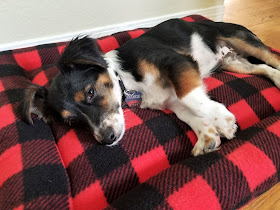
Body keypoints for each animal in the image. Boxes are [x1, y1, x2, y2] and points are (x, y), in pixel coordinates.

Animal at [21, 18, 280, 156]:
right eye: (72, 122)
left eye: (90, 92)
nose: (107, 140)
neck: (127, 79)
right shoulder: (171, 101)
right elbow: (189, 114)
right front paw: (207, 135)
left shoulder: (177, 63)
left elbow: (191, 98)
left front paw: (223, 121)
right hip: (233, 63)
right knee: (263, 68)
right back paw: (276, 79)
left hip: (241, 40)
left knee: (272, 58)